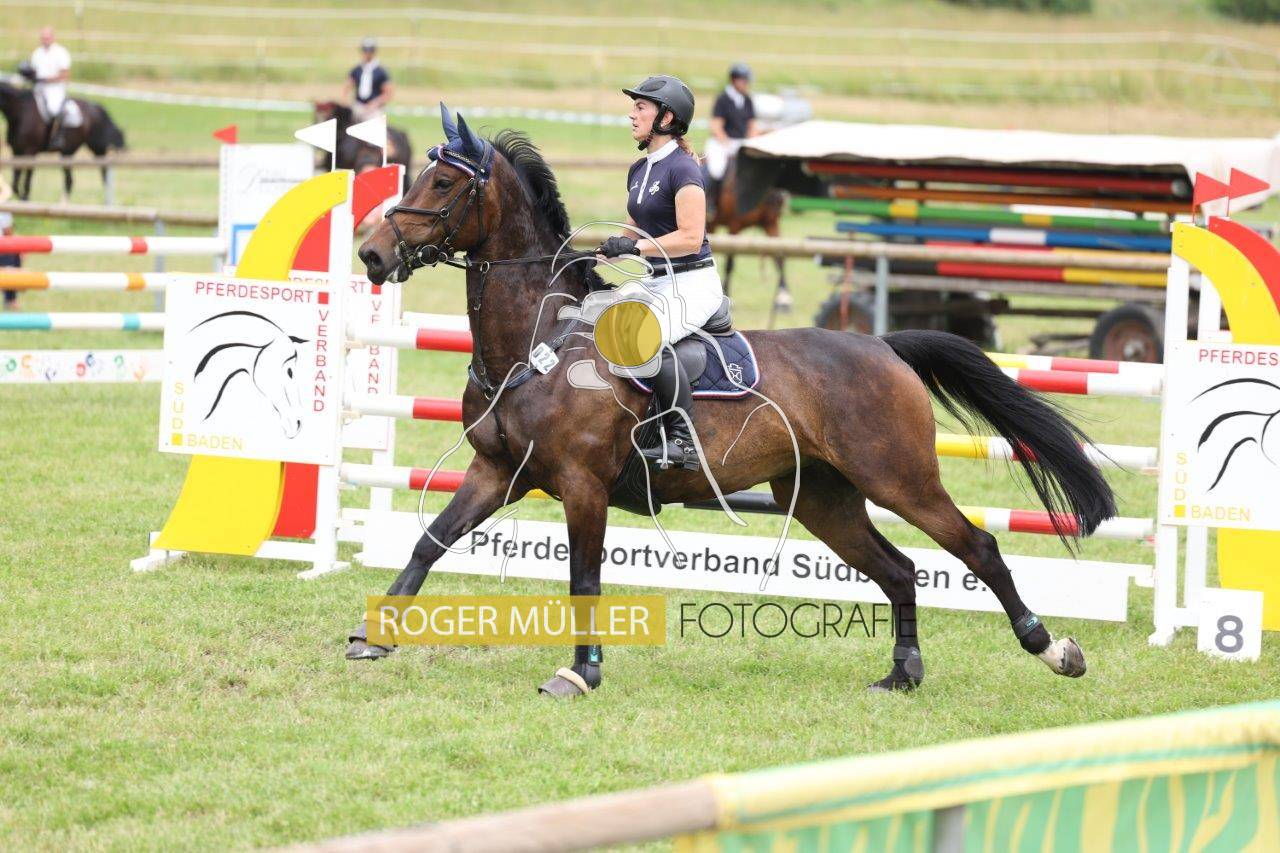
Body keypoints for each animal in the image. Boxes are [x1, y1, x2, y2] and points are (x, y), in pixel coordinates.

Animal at [707, 156, 791, 317]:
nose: (783, 197)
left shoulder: (771, 223)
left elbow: (779, 258)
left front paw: (784, 299)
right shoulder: (734, 225)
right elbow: (730, 263)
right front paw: (728, 296)